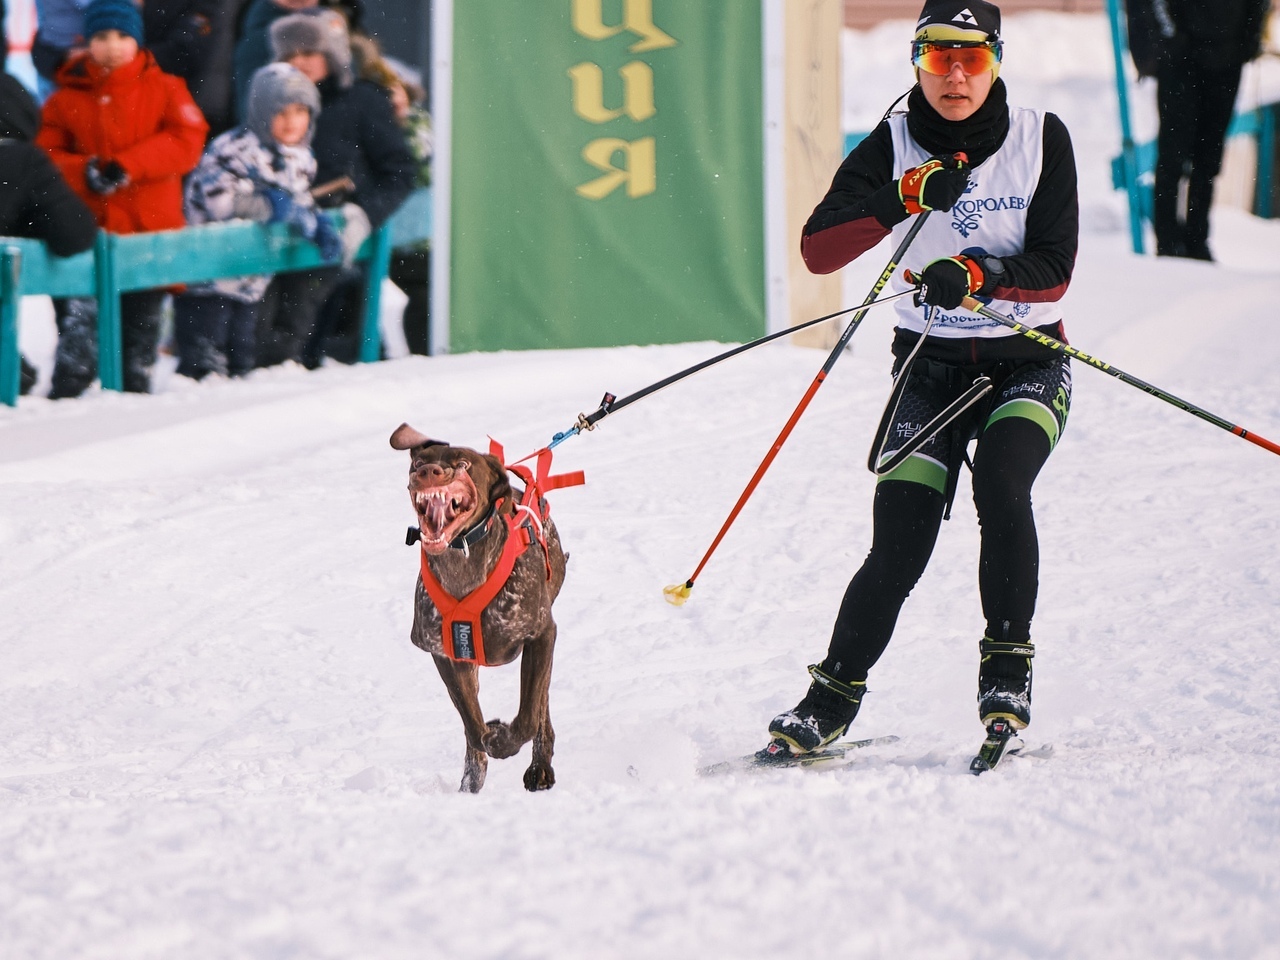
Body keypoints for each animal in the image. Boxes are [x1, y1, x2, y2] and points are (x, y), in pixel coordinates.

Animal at [391, 424, 568, 793]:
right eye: (419, 463)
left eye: (463, 464)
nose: (428, 473)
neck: (462, 560)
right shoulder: (447, 655)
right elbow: (472, 725)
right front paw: (477, 768)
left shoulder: (541, 634)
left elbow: (527, 717)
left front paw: (503, 739)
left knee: (540, 706)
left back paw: (540, 767)